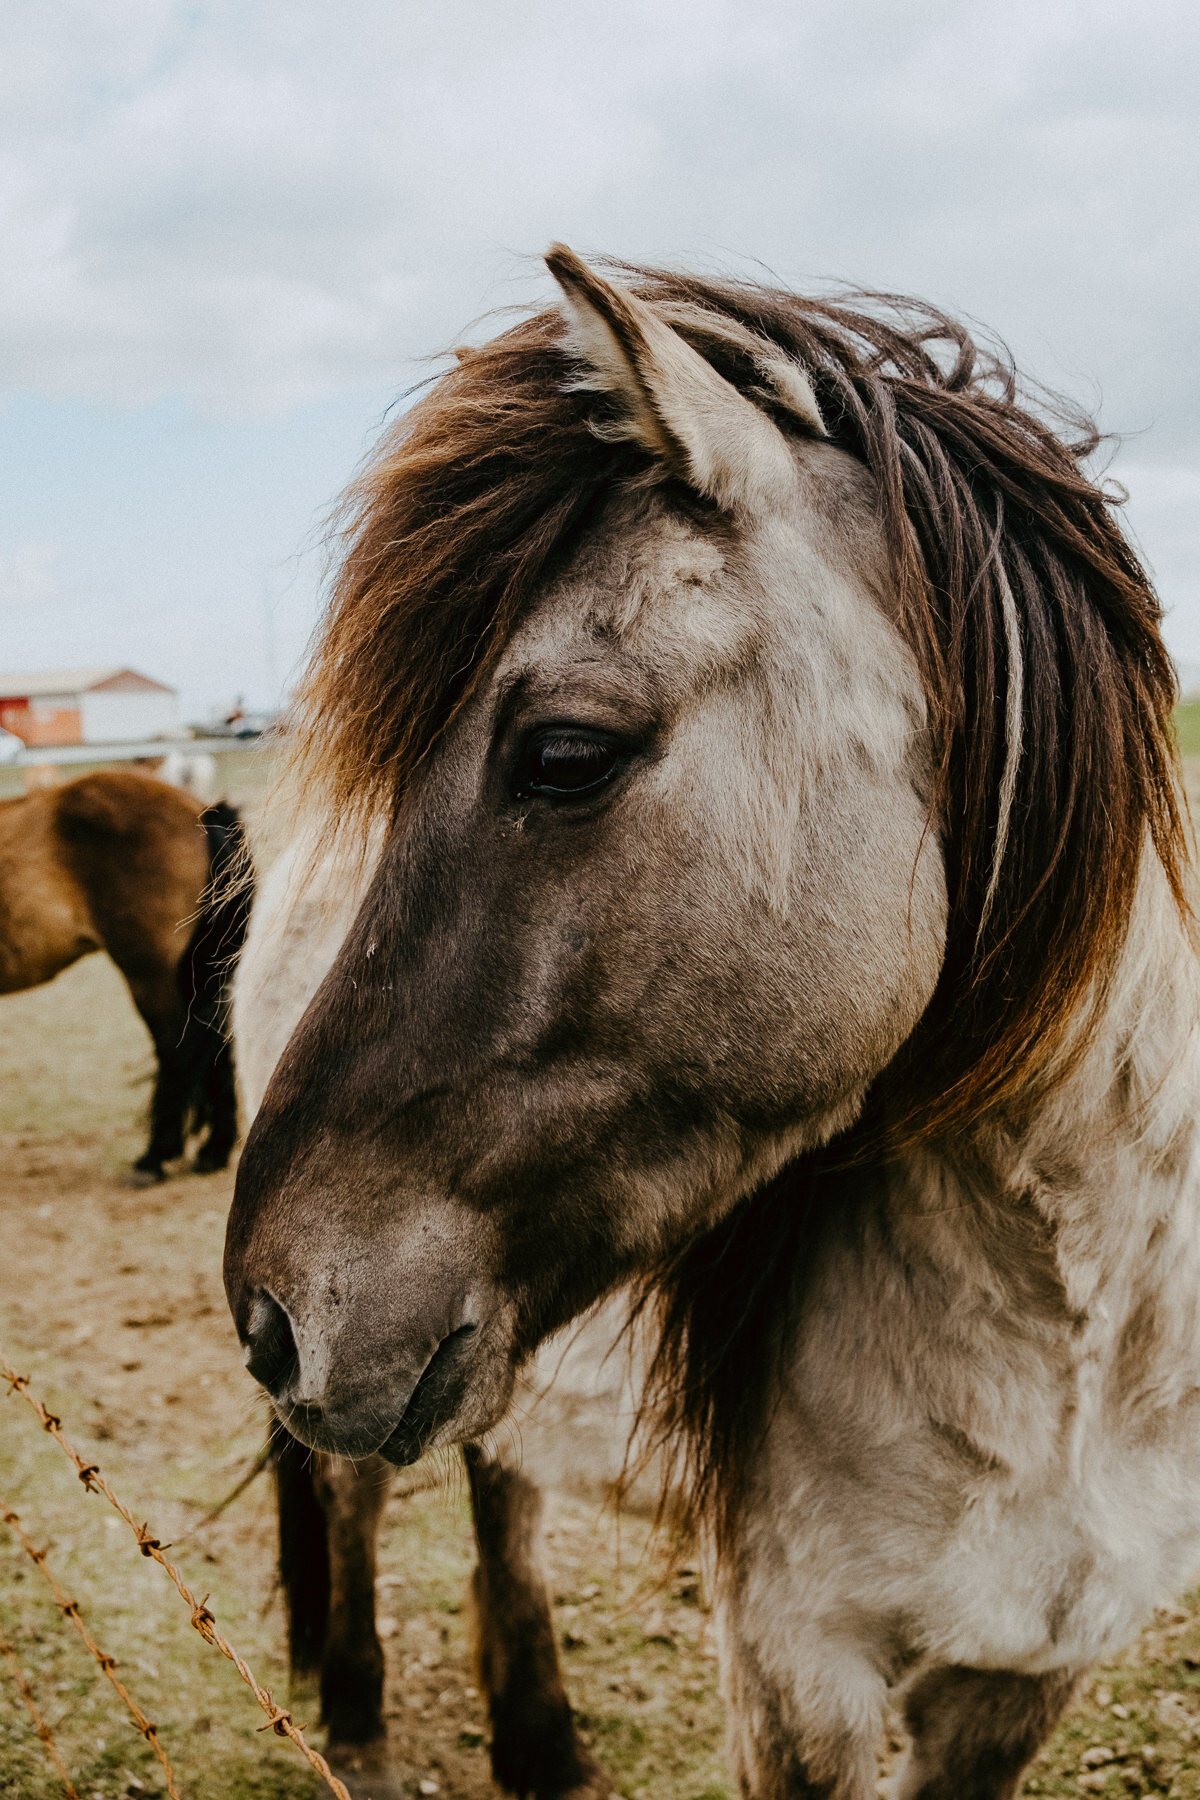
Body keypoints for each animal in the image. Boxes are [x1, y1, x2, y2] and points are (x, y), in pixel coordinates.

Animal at [223, 243, 1194, 1800]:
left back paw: (541, 1743)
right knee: (358, 1502)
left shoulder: (1030, 1670)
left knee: (499, 1481)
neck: (1079, 1348)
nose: (266, 1313)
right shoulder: (799, 1666)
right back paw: (362, 1730)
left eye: (563, 754)